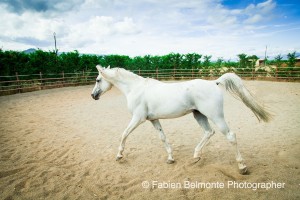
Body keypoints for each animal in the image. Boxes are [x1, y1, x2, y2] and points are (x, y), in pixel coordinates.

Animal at [91, 65, 272, 173]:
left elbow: (124, 134)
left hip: (216, 116)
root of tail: (214, 83)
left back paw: (242, 166)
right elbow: (163, 138)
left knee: (230, 136)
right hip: (199, 115)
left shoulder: (138, 118)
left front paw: (119, 156)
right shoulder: (153, 120)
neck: (136, 89)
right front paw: (170, 158)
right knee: (209, 132)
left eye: (98, 80)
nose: (93, 95)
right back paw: (196, 156)